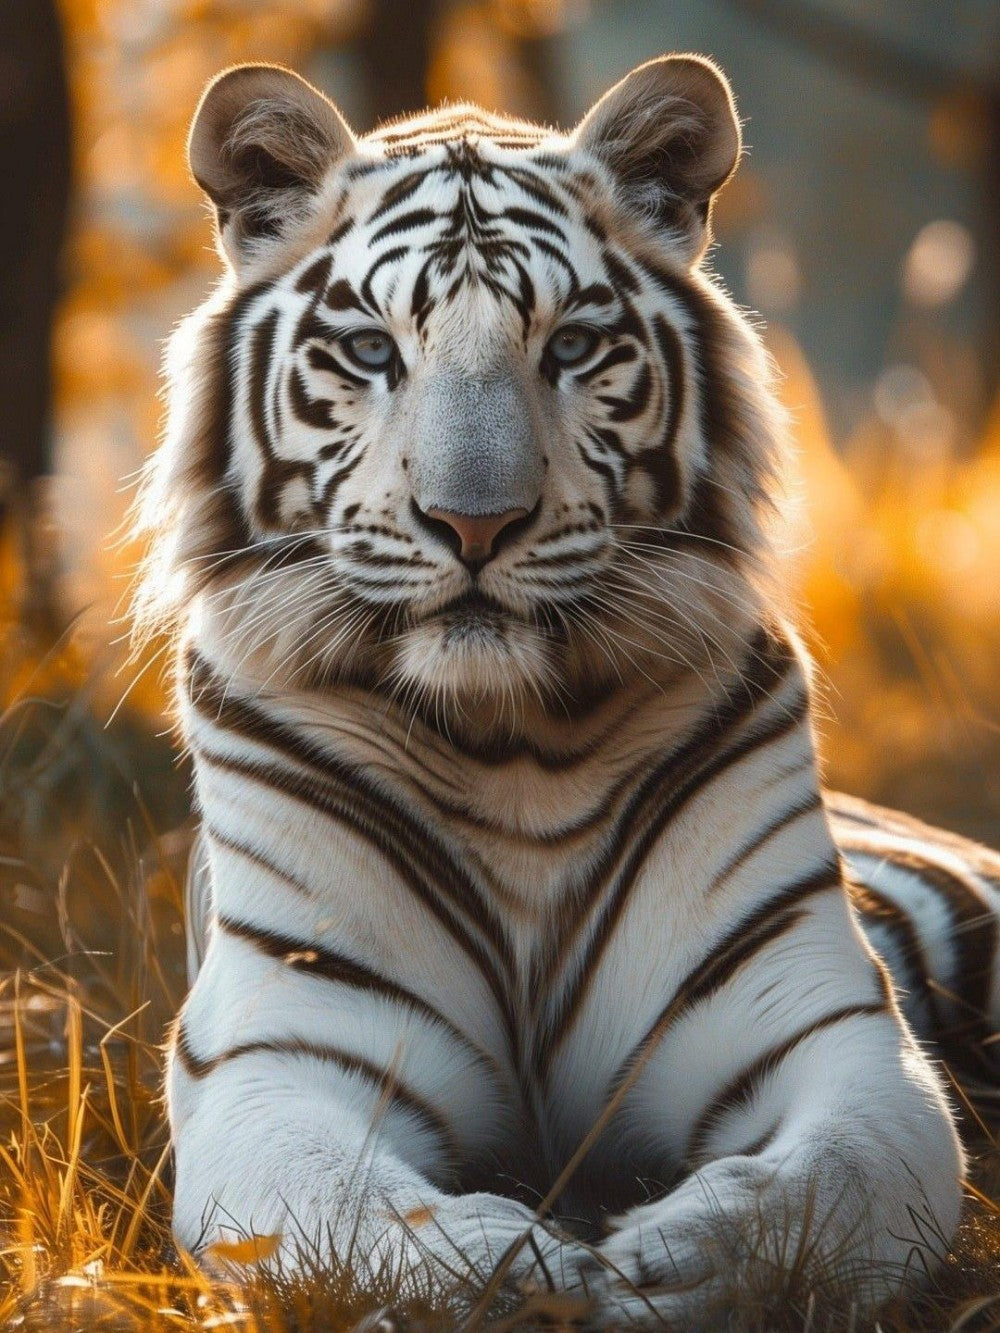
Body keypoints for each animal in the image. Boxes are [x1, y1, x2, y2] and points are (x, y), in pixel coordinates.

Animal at [135, 53, 999, 1326]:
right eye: (371, 351)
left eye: (574, 347)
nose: (473, 522)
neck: (513, 746)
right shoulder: (279, 1058)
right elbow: (354, 1217)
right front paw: (525, 1272)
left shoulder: (831, 1032)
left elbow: (834, 1182)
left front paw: (676, 1264)